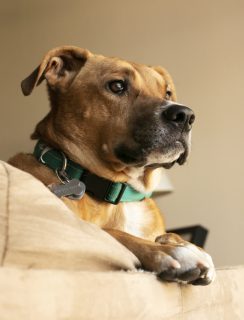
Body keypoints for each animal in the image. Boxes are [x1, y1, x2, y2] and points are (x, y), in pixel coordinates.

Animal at [9, 45, 215, 284]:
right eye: (117, 86)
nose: (186, 115)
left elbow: (169, 234)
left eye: (167, 93)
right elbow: (112, 232)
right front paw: (169, 251)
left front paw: (187, 244)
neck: (122, 194)